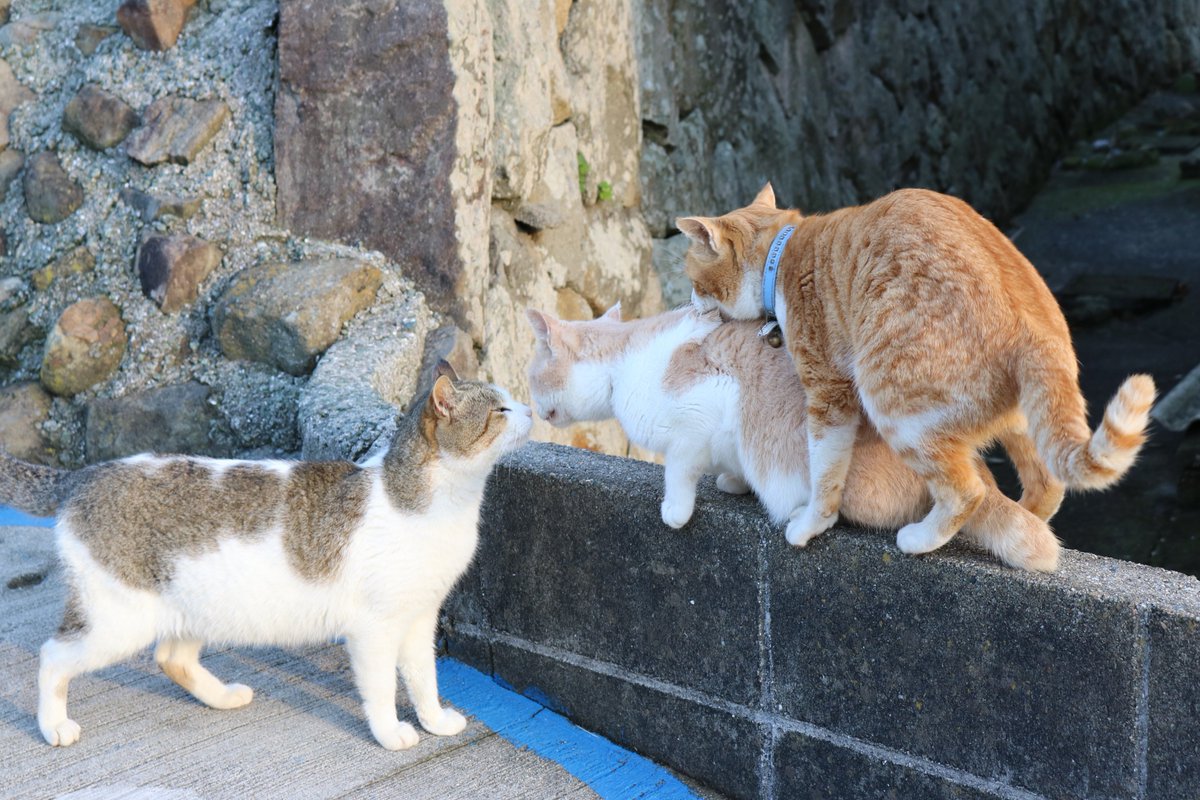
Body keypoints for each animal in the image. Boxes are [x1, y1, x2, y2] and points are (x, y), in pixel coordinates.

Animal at [0, 362, 535, 753]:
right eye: (501, 409)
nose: (531, 409)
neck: (438, 503)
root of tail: (87, 473)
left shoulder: (420, 618)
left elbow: (424, 680)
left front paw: (435, 721)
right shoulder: (376, 629)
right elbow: (384, 689)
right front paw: (390, 733)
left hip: (195, 606)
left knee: (171, 657)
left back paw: (222, 697)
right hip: (117, 621)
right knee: (52, 656)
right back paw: (53, 725)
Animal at [525, 303, 1060, 566]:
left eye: (532, 379)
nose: (530, 409)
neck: (622, 366)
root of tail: (979, 474)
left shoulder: (700, 413)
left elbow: (679, 470)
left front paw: (675, 511)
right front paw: (732, 483)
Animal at [676, 184, 1152, 573]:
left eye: (692, 280)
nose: (689, 303)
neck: (782, 253)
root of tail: (1037, 332)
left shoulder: (829, 393)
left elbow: (824, 472)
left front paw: (810, 523)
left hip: (890, 402)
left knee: (968, 491)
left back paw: (920, 539)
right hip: (1020, 420)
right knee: (1047, 483)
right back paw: (1028, 522)